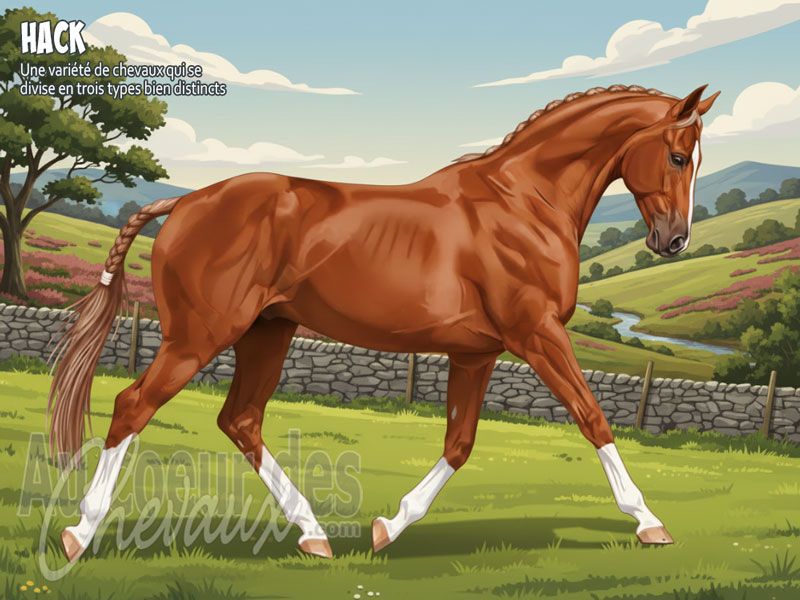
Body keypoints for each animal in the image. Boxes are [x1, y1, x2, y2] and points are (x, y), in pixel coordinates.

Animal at [48, 83, 719, 561]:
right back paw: (79, 534)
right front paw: (650, 524)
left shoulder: (477, 353)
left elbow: (459, 444)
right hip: (199, 337)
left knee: (240, 420)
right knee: (134, 405)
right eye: (677, 155)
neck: (524, 203)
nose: (674, 241)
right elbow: (593, 417)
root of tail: (182, 201)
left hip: (268, 332)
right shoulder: (537, 334)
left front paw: (386, 528)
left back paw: (315, 535)